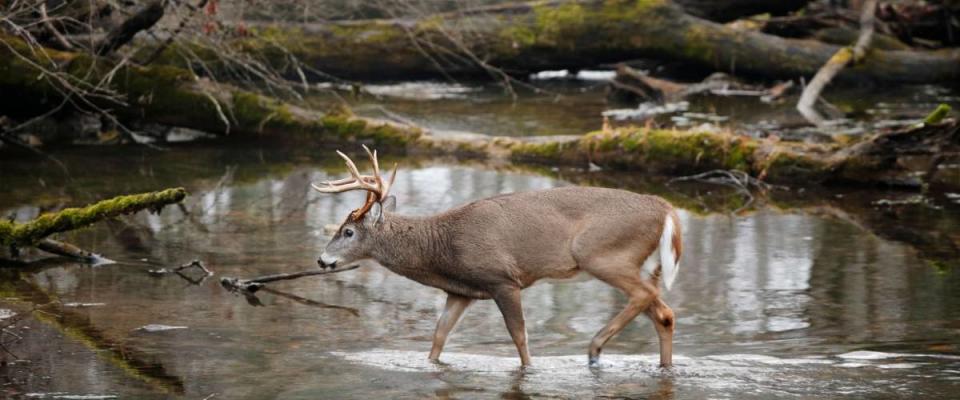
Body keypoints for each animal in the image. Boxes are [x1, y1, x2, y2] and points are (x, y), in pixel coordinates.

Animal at [316, 145, 684, 368]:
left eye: (347, 232)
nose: (321, 260)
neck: (443, 247)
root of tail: (665, 208)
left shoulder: (503, 279)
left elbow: (519, 337)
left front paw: (530, 369)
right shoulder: (460, 291)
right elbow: (439, 336)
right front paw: (431, 364)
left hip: (601, 254)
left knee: (645, 296)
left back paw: (594, 349)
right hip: (641, 264)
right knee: (663, 312)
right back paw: (661, 365)